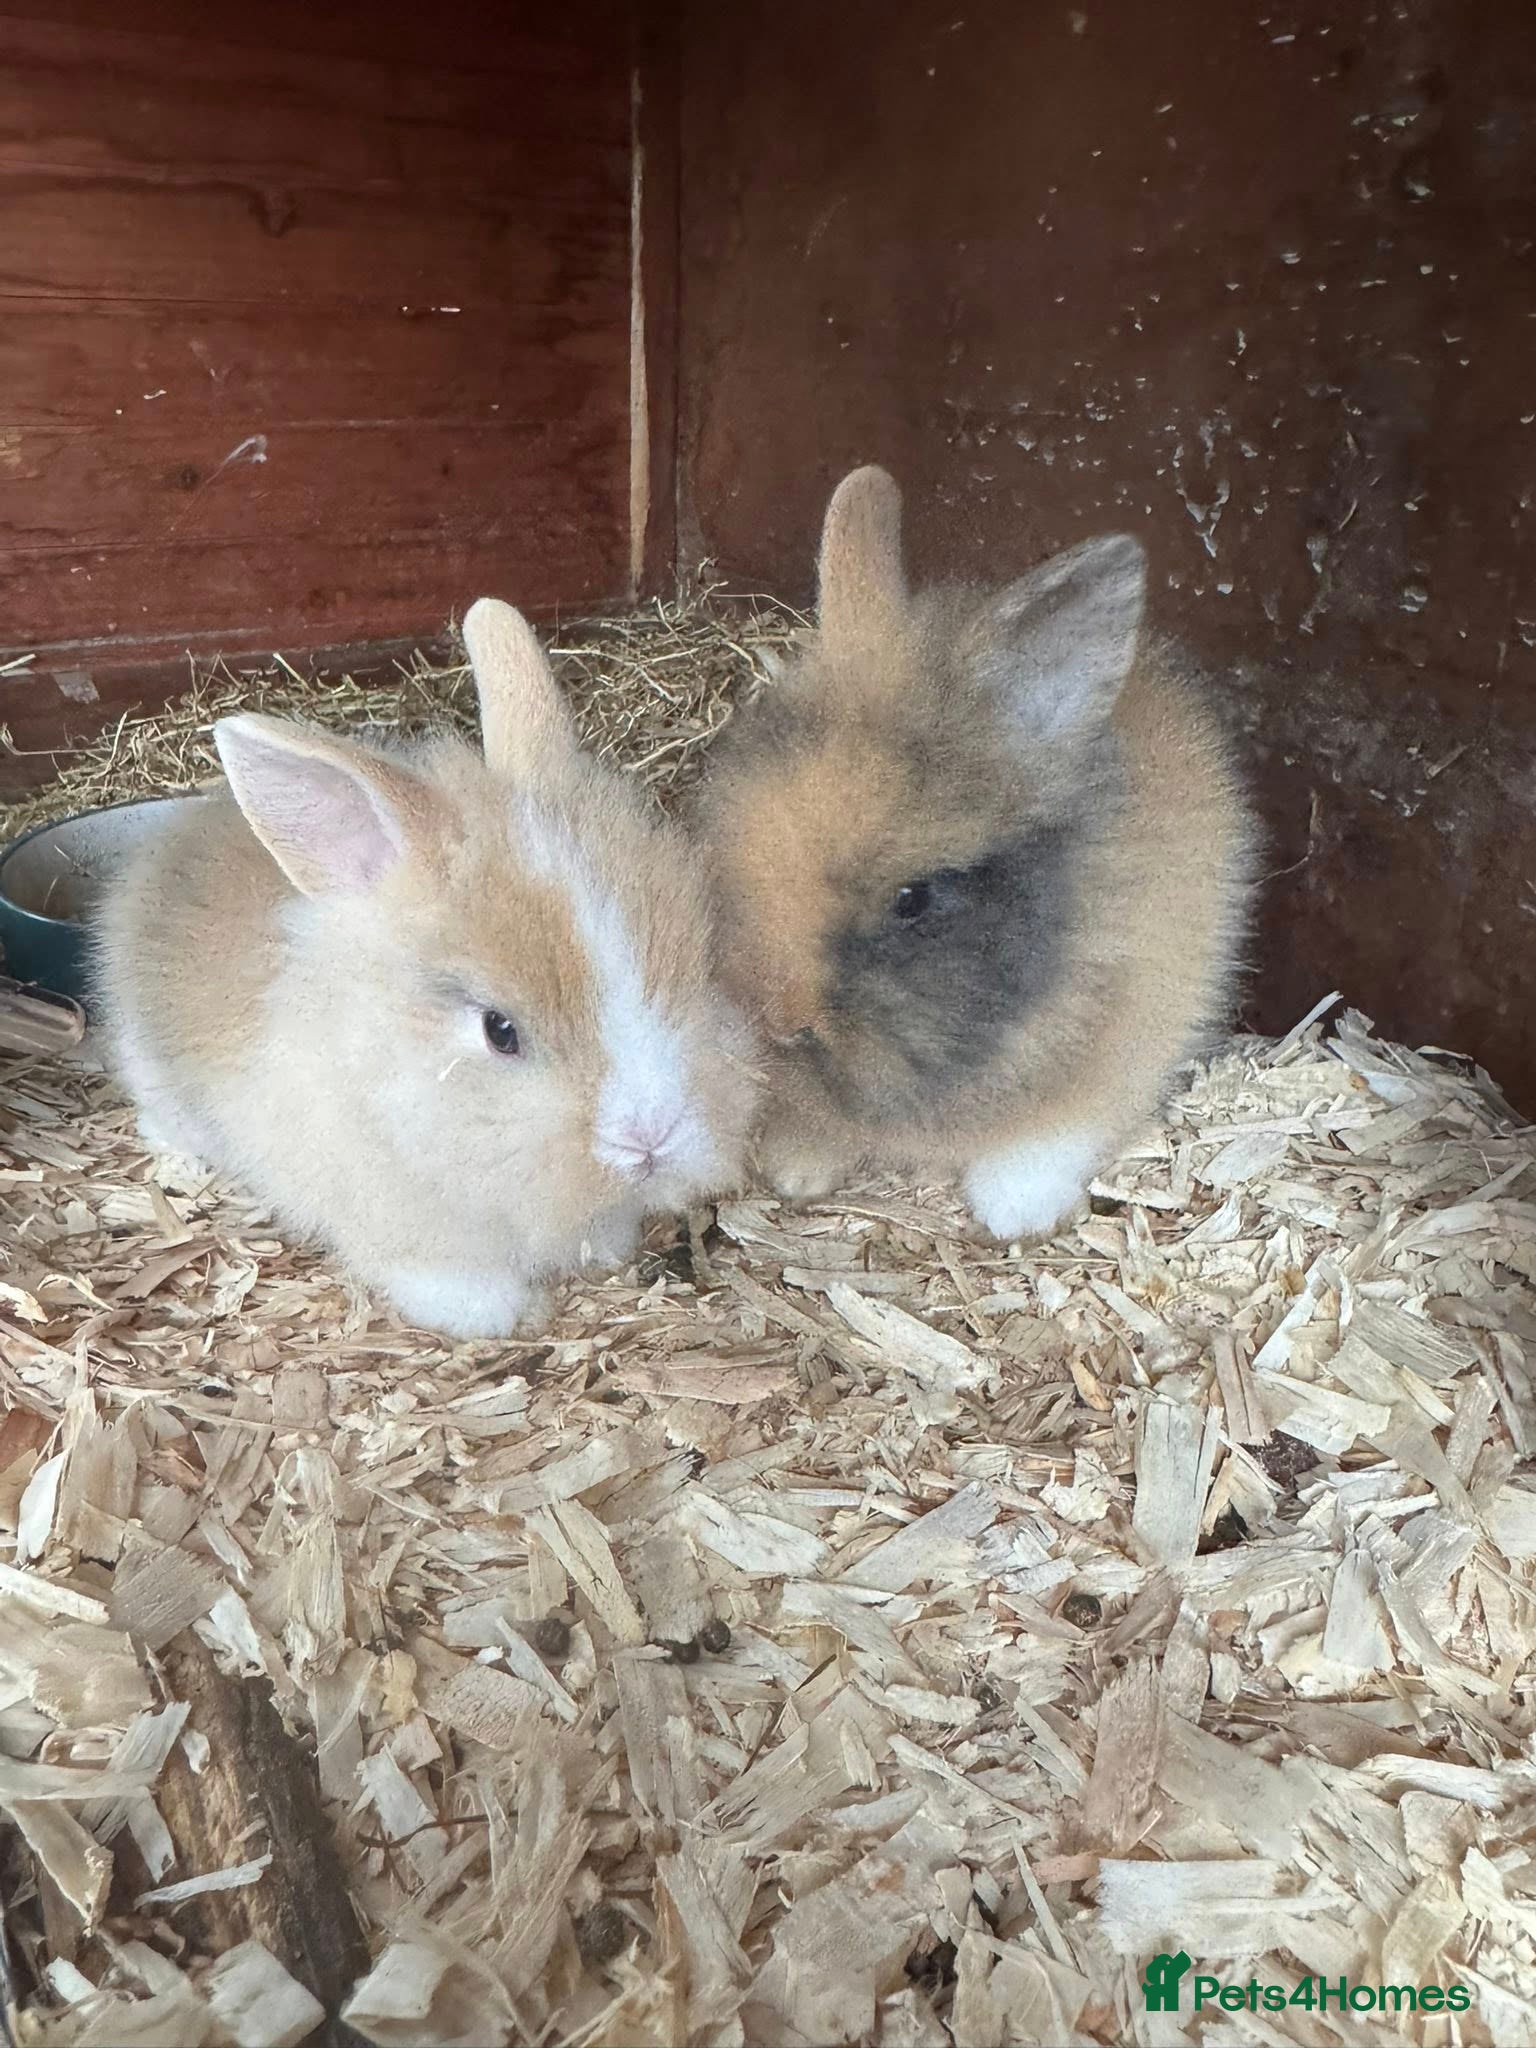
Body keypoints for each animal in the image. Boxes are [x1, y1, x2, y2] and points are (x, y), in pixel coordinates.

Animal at [91, 599, 759, 1340]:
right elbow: (448, 1280)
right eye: (500, 1030)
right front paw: (512, 1314)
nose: (649, 1136)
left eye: (699, 963)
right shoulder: (404, 1226)